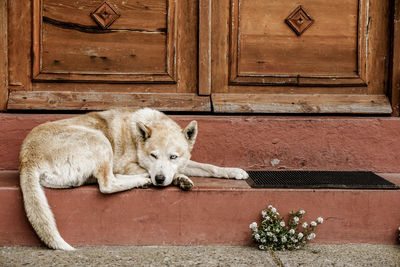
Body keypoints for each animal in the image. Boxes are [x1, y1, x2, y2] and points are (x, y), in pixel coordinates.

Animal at [19, 108, 250, 251]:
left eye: (173, 156)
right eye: (153, 155)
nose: (160, 179)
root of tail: (26, 159)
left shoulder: (184, 162)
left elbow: (208, 167)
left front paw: (234, 172)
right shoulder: (128, 164)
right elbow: (155, 171)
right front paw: (176, 178)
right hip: (99, 140)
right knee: (107, 183)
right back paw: (143, 181)